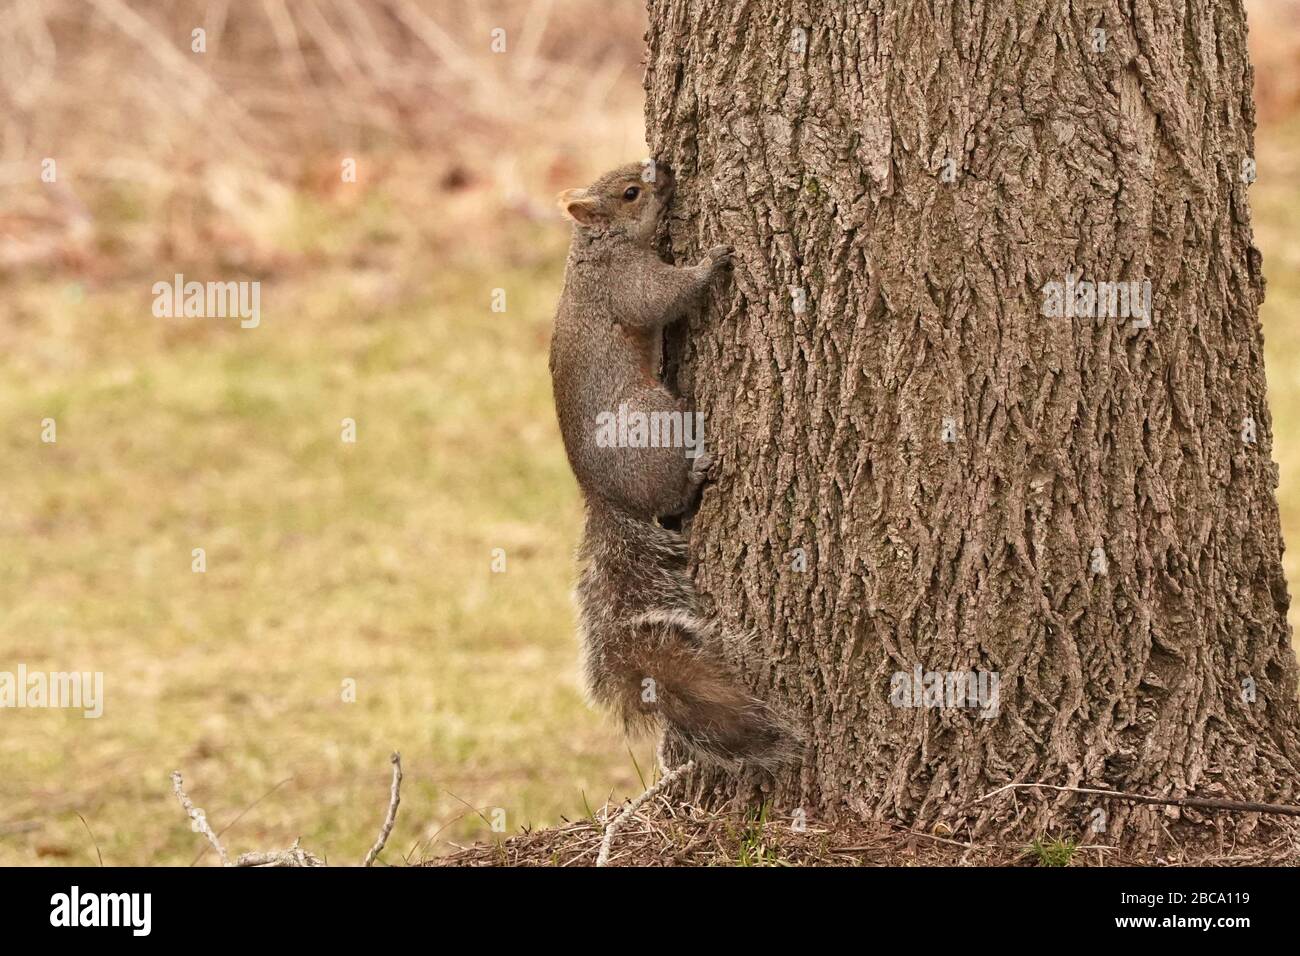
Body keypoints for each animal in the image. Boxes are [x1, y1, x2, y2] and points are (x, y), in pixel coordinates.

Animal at [548, 160, 802, 770]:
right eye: (630, 192)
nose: (663, 166)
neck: (595, 247)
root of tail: (603, 498)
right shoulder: (628, 284)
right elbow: (661, 299)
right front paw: (713, 262)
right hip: (651, 414)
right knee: (671, 496)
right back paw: (697, 471)